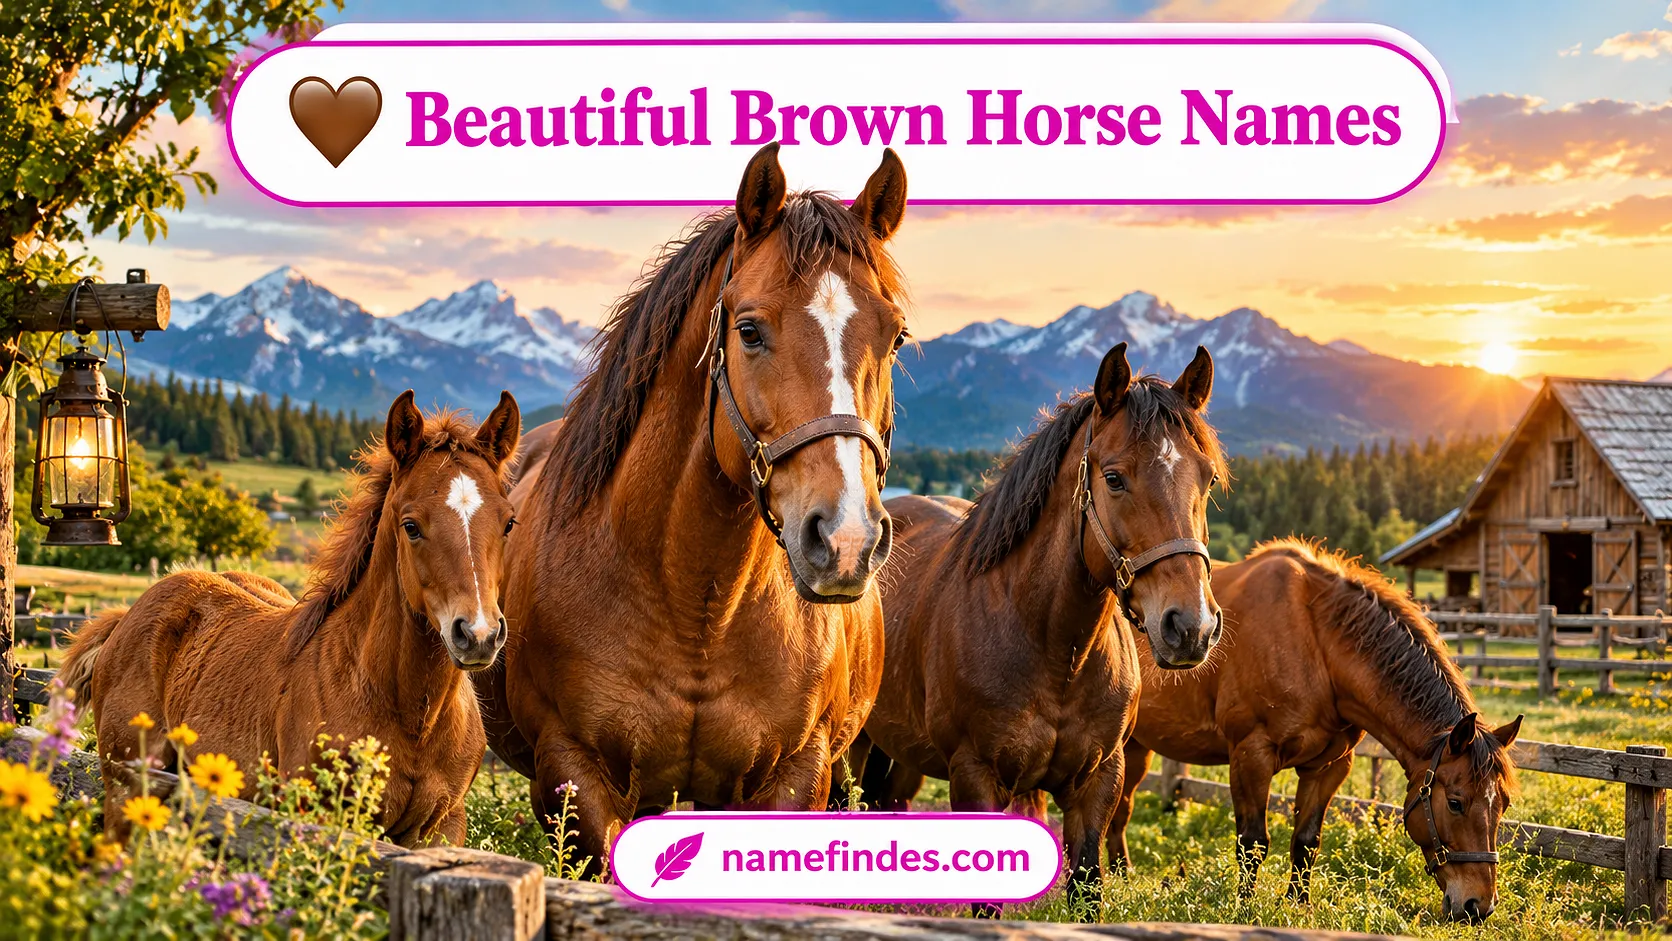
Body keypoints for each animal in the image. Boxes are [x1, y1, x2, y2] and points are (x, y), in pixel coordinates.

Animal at [62, 390, 522, 847]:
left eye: (508, 523)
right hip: (126, 789)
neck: (411, 716)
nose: (478, 634)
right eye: (411, 526)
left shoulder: (441, 827)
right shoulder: (314, 812)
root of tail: (128, 615)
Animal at [474, 143, 911, 869]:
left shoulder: (795, 777)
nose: (844, 540)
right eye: (749, 330)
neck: (697, 606)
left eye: (896, 336)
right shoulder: (575, 776)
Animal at [853, 342, 1228, 914]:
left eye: (1206, 479)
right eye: (1113, 478)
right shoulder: (977, 778)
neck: (1056, 652)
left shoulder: (1098, 783)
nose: (1191, 626)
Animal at [1104, 539, 1522, 923]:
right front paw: (1244, 910)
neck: (1315, 641)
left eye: (1502, 805)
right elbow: (1252, 843)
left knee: (1121, 809)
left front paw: (1297, 905)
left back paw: (1121, 874)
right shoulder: (1251, 756)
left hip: (1137, 748)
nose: (1478, 906)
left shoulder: (1328, 767)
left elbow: (1306, 842)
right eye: (1455, 803)